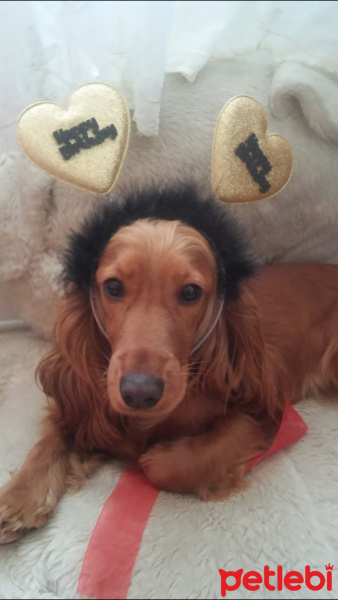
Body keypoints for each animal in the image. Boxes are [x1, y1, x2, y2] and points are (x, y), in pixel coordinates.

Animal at [0, 184, 338, 544]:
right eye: (113, 286)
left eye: (190, 292)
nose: (139, 393)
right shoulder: (80, 403)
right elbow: (50, 438)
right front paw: (19, 496)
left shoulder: (260, 413)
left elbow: (165, 466)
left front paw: (154, 455)